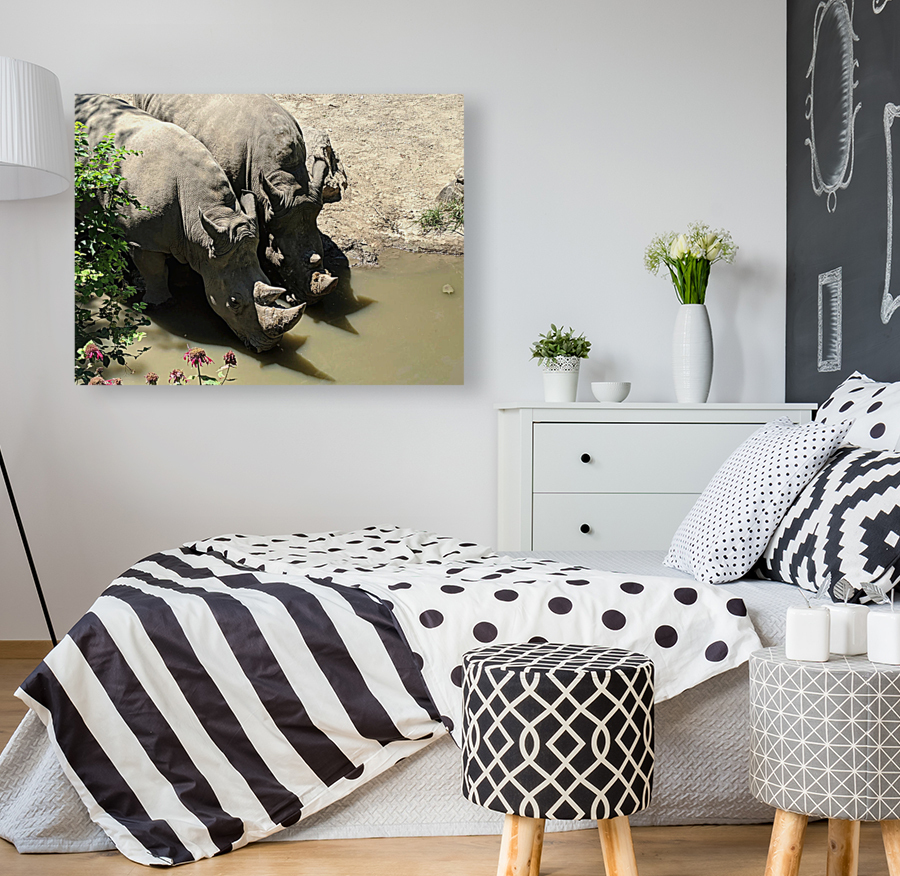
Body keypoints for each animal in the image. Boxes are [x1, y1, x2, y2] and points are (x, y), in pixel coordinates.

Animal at [75, 95, 304, 353]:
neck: (212, 214)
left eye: (269, 281)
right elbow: (155, 272)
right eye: (234, 302)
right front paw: (161, 304)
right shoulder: (143, 241)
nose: (269, 347)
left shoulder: (199, 240)